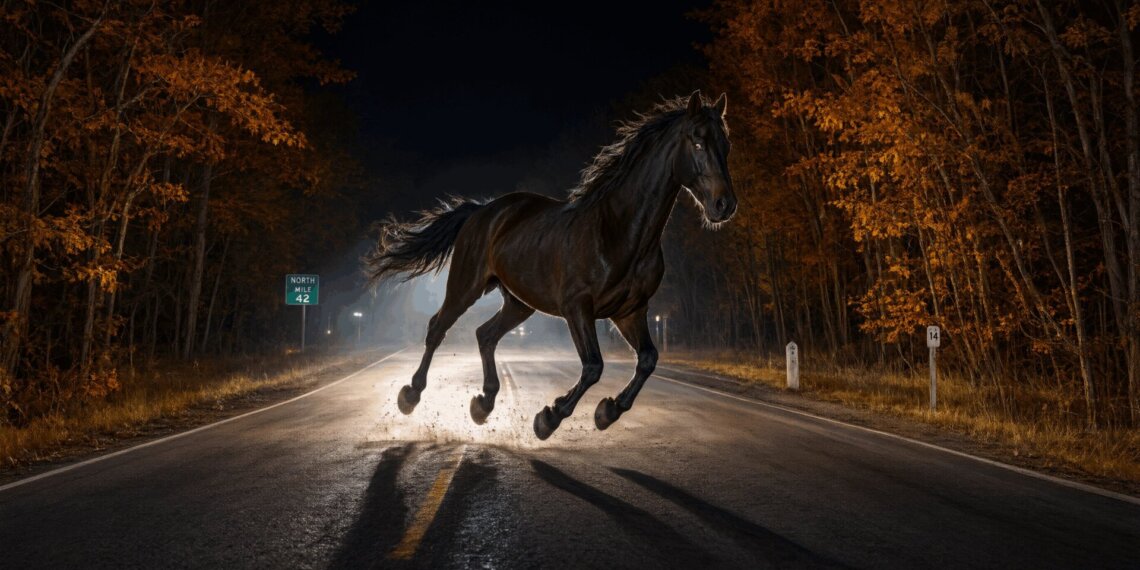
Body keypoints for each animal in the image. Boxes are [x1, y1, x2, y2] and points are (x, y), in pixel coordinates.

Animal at [366, 90, 736, 439]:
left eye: (725, 143)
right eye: (697, 140)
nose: (724, 205)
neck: (618, 230)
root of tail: (481, 211)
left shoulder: (631, 311)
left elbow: (647, 360)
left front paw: (607, 411)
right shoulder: (577, 307)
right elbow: (593, 366)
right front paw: (549, 418)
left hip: (519, 302)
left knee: (485, 335)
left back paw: (483, 404)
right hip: (466, 286)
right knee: (437, 328)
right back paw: (410, 395)